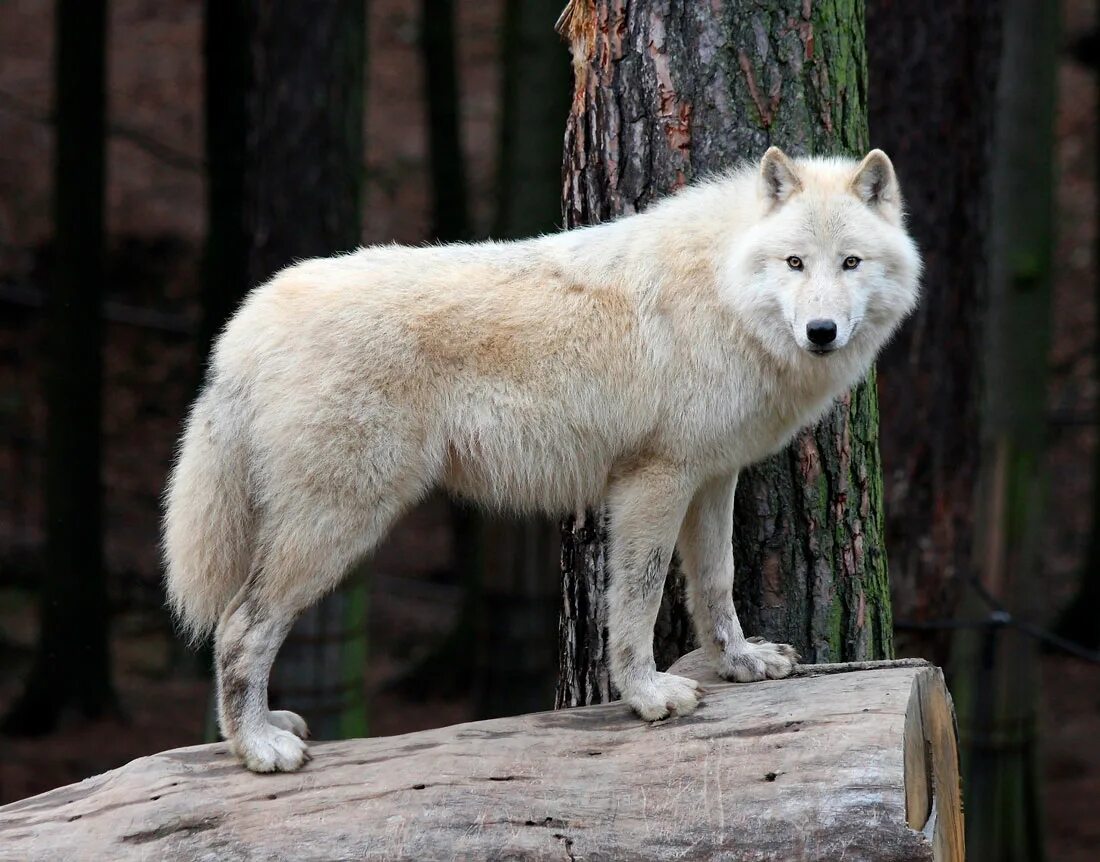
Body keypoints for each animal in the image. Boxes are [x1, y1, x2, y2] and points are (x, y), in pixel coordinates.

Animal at [162, 148, 919, 774]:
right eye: (795, 263)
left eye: (850, 263)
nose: (821, 331)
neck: (723, 290)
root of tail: (247, 323)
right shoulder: (654, 481)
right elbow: (639, 599)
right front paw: (648, 695)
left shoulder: (711, 477)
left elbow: (716, 584)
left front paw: (740, 663)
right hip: (339, 524)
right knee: (239, 627)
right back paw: (258, 748)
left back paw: (262, 729)